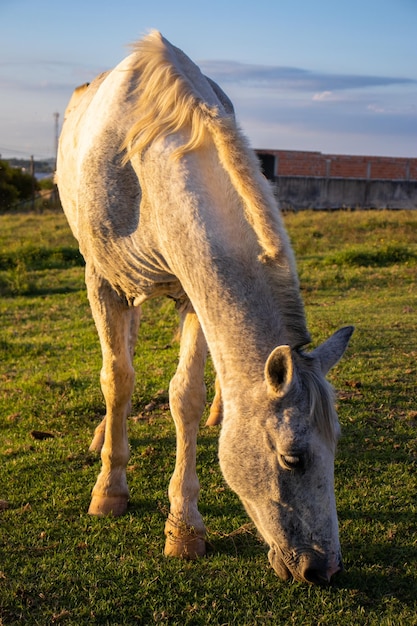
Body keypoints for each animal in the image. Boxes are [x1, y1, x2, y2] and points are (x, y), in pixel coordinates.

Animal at [57, 31, 352, 584]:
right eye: (293, 459)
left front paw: (184, 526)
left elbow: (185, 398)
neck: (142, 168)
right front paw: (110, 489)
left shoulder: (194, 296)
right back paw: (105, 435)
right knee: (122, 359)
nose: (321, 569)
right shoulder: (102, 281)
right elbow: (117, 379)